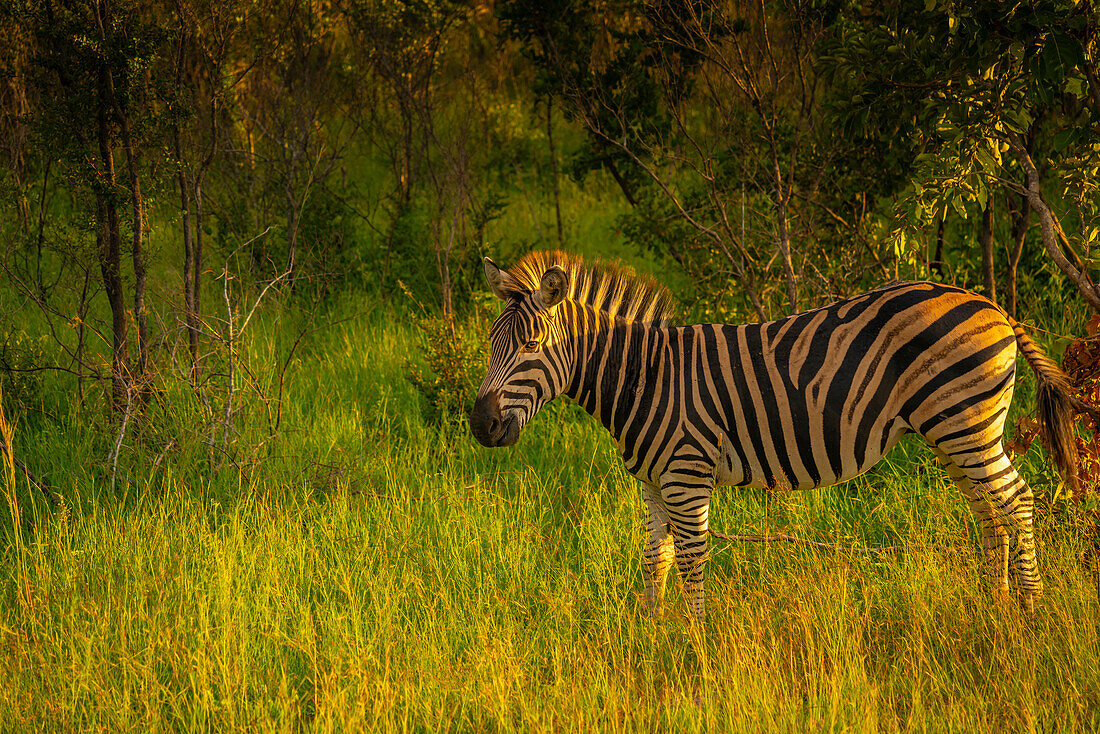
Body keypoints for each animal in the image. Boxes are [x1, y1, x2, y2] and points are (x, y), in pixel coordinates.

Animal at [468, 249, 1086, 616]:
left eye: (529, 346)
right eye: (491, 343)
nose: (480, 424)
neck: (645, 377)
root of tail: (994, 306)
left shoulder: (687, 475)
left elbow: (690, 559)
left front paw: (694, 646)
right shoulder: (653, 482)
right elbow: (654, 559)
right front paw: (650, 634)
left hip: (966, 424)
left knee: (1017, 499)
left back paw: (1029, 614)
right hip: (955, 431)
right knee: (989, 509)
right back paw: (993, 608)